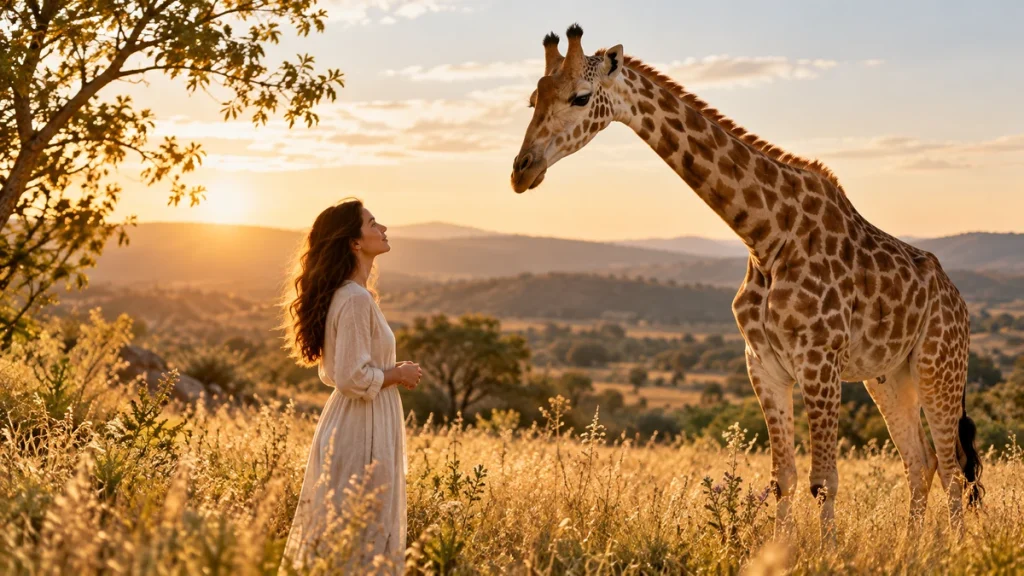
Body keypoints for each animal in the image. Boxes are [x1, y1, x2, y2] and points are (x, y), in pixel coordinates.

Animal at [510, 24, 984, 540]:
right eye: (533, 98)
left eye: (580, 97)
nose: (522, 170)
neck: (766, 236)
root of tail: (960, 303)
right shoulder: (764, 364)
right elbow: (784, 478)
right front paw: (781, 548)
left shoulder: (819, 361)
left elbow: (824, 480)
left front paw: (828, 550)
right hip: (890, 377)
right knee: (921, 463)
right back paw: (914, 546)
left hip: (938, 367)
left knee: (952, 467)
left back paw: (953, 546)